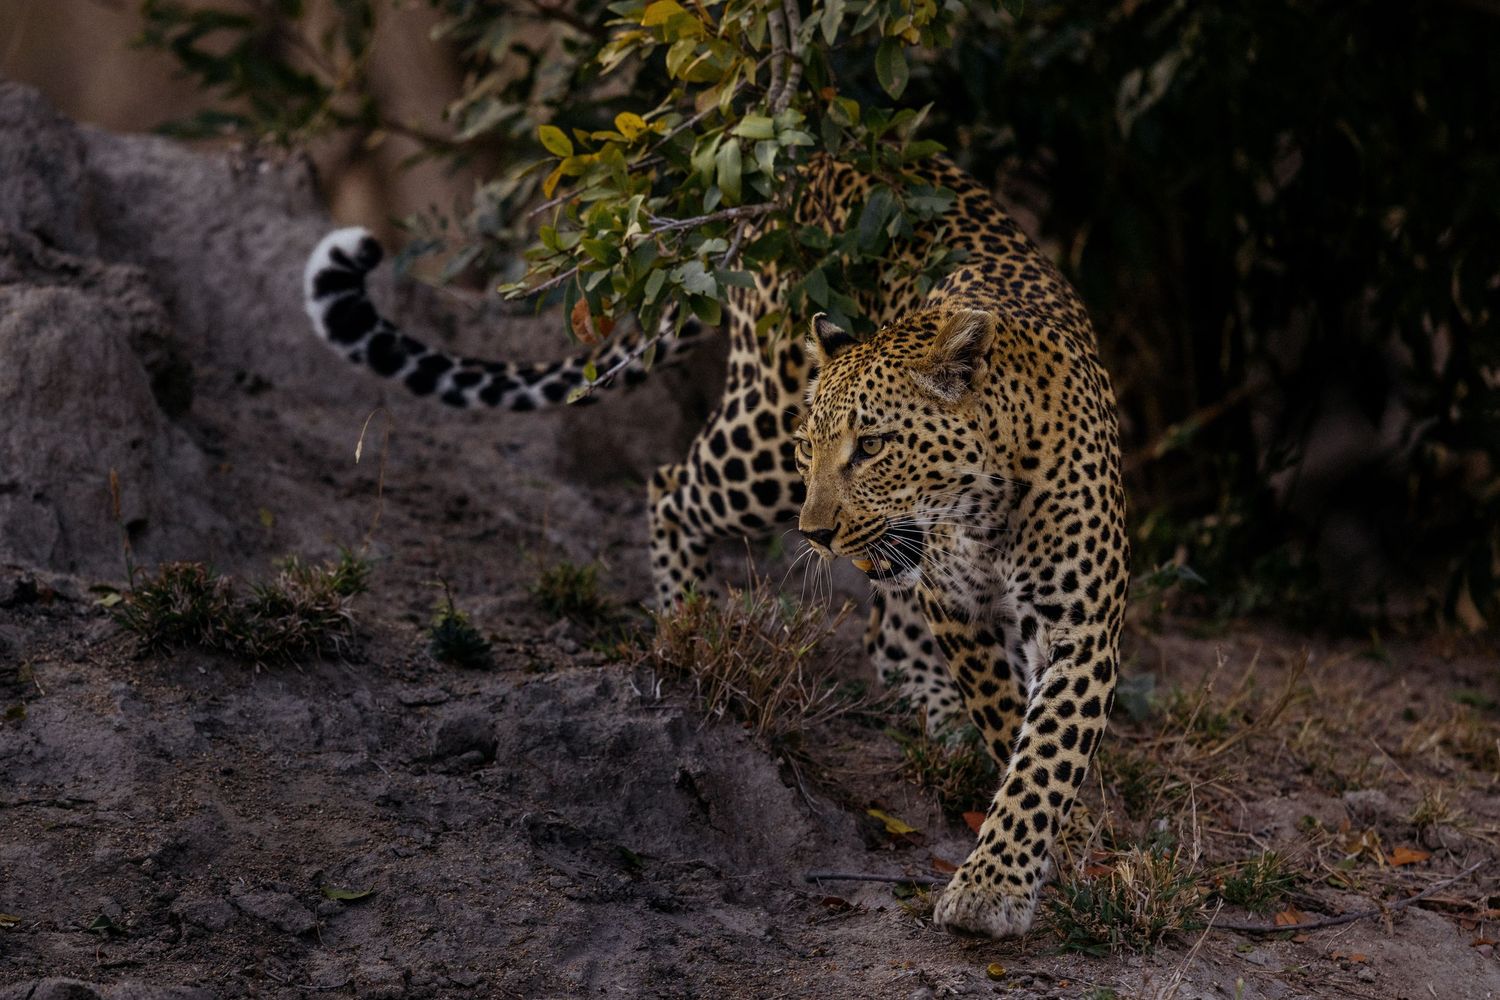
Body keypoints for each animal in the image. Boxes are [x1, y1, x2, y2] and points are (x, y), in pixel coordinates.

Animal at [302, 154, 1127, 938]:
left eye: (873, 445)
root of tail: (801, 169)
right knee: (670, 487)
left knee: (881, 621)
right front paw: (1034, 861)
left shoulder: (1078, 625)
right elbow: (1010, 720)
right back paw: (685, 627)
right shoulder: (958, 607)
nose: (815, 535)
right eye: (812, 444)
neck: (985, 499)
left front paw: (1014, 872)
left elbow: (1046, 752)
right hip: (761, 446)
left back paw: (929, 708)